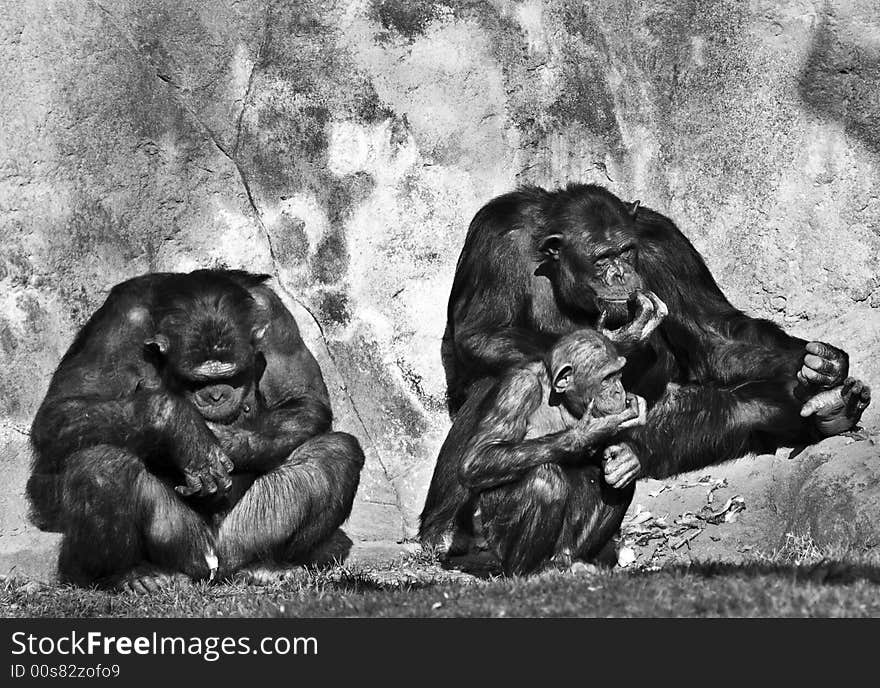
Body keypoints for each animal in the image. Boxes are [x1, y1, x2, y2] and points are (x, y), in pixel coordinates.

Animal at [27, 268, 364, 592]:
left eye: (232, 375)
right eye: (195, 381)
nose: (215, 395)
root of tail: (213, 564)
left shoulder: (275, 316)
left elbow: (304, 399)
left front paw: (226, 442)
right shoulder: (118, 324)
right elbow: (62, 410)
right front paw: (184, 430)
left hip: (241, 537)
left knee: (335, 453)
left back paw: (264, 567)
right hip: (182, 544)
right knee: (100, 464)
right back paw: (132, 575)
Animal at [422, 181, 872, 548]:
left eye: (626, 251)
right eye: (601, 258)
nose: (621, 273)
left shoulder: (663, 242)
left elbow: (712, 332)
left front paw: (823, 365)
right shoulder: (496, 235)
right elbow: (480, 332)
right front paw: (621, 340)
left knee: (742, 406)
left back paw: (830, 405)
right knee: (500, 379)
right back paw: (444, 529)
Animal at [460, 328, 648, 576]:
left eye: (619, 374)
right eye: (607, 378)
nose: (620, 390)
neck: (559, 398)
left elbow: (614, 457)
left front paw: (628, 459)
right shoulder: (518, 389)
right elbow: (478, 457)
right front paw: (587, 432)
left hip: (565, 548)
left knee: (615, 482)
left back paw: (580, 561)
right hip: (498, 542)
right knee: (544, 482)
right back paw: (530, 572)